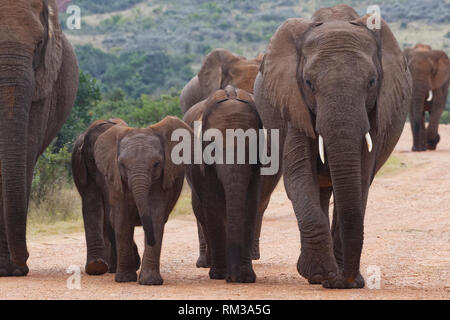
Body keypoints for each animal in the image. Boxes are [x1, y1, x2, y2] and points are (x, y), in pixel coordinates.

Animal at [72, 115, 192, 284]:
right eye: (121, 164)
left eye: (156, 164)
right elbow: (117, 215)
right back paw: (102, 267)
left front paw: (149, 282)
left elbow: (155, 214)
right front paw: (124, 279)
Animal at [185, 85, 266, 282]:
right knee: (201, 212)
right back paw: (210, 266)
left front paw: (246, 277)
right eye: (212, 148)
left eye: (254, 145)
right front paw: (220, 275)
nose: (233, 278)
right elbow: (212, 204)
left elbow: (250, 203)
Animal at [253, 4, 412, 290]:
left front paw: (344, 282)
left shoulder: (376, 112)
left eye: (372, 82)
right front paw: (322, 275)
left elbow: (360, 178)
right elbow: (299, 173)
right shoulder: (293, 102)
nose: (343, 280)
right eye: (309, 83)